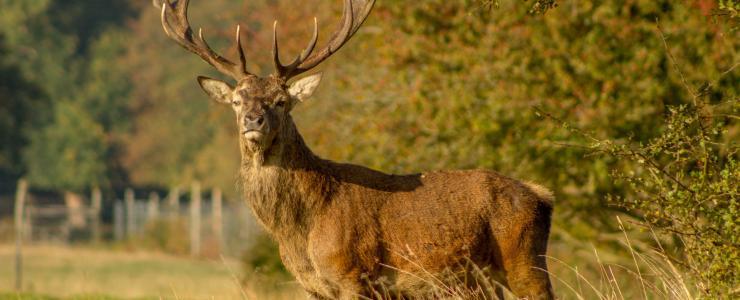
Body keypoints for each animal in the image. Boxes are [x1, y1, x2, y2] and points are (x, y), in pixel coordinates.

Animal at [156, 0, 552, 298]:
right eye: (237, 101)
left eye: (282, 101)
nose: (253, 120)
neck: (301, 232)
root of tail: (542, 195)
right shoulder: (313, 287)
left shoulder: (355, 274)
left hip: (524, 260)